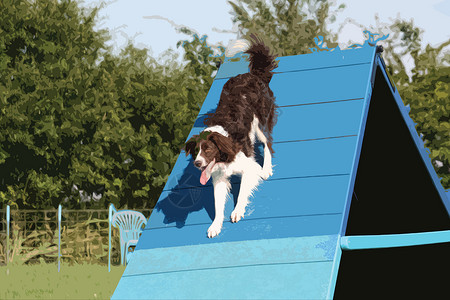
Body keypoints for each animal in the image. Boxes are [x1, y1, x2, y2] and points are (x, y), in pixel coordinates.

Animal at [184, 34, 278, 237]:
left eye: (208, 149)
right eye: (196, 151)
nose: (197, 164)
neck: (225, 154)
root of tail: (253, 74)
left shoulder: (249, 167)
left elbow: (242, 191)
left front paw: (237, 211)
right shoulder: (218, 178)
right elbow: (217, 204)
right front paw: (215, 225)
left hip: (260, 123)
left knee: (267, 143)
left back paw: (267, 168)